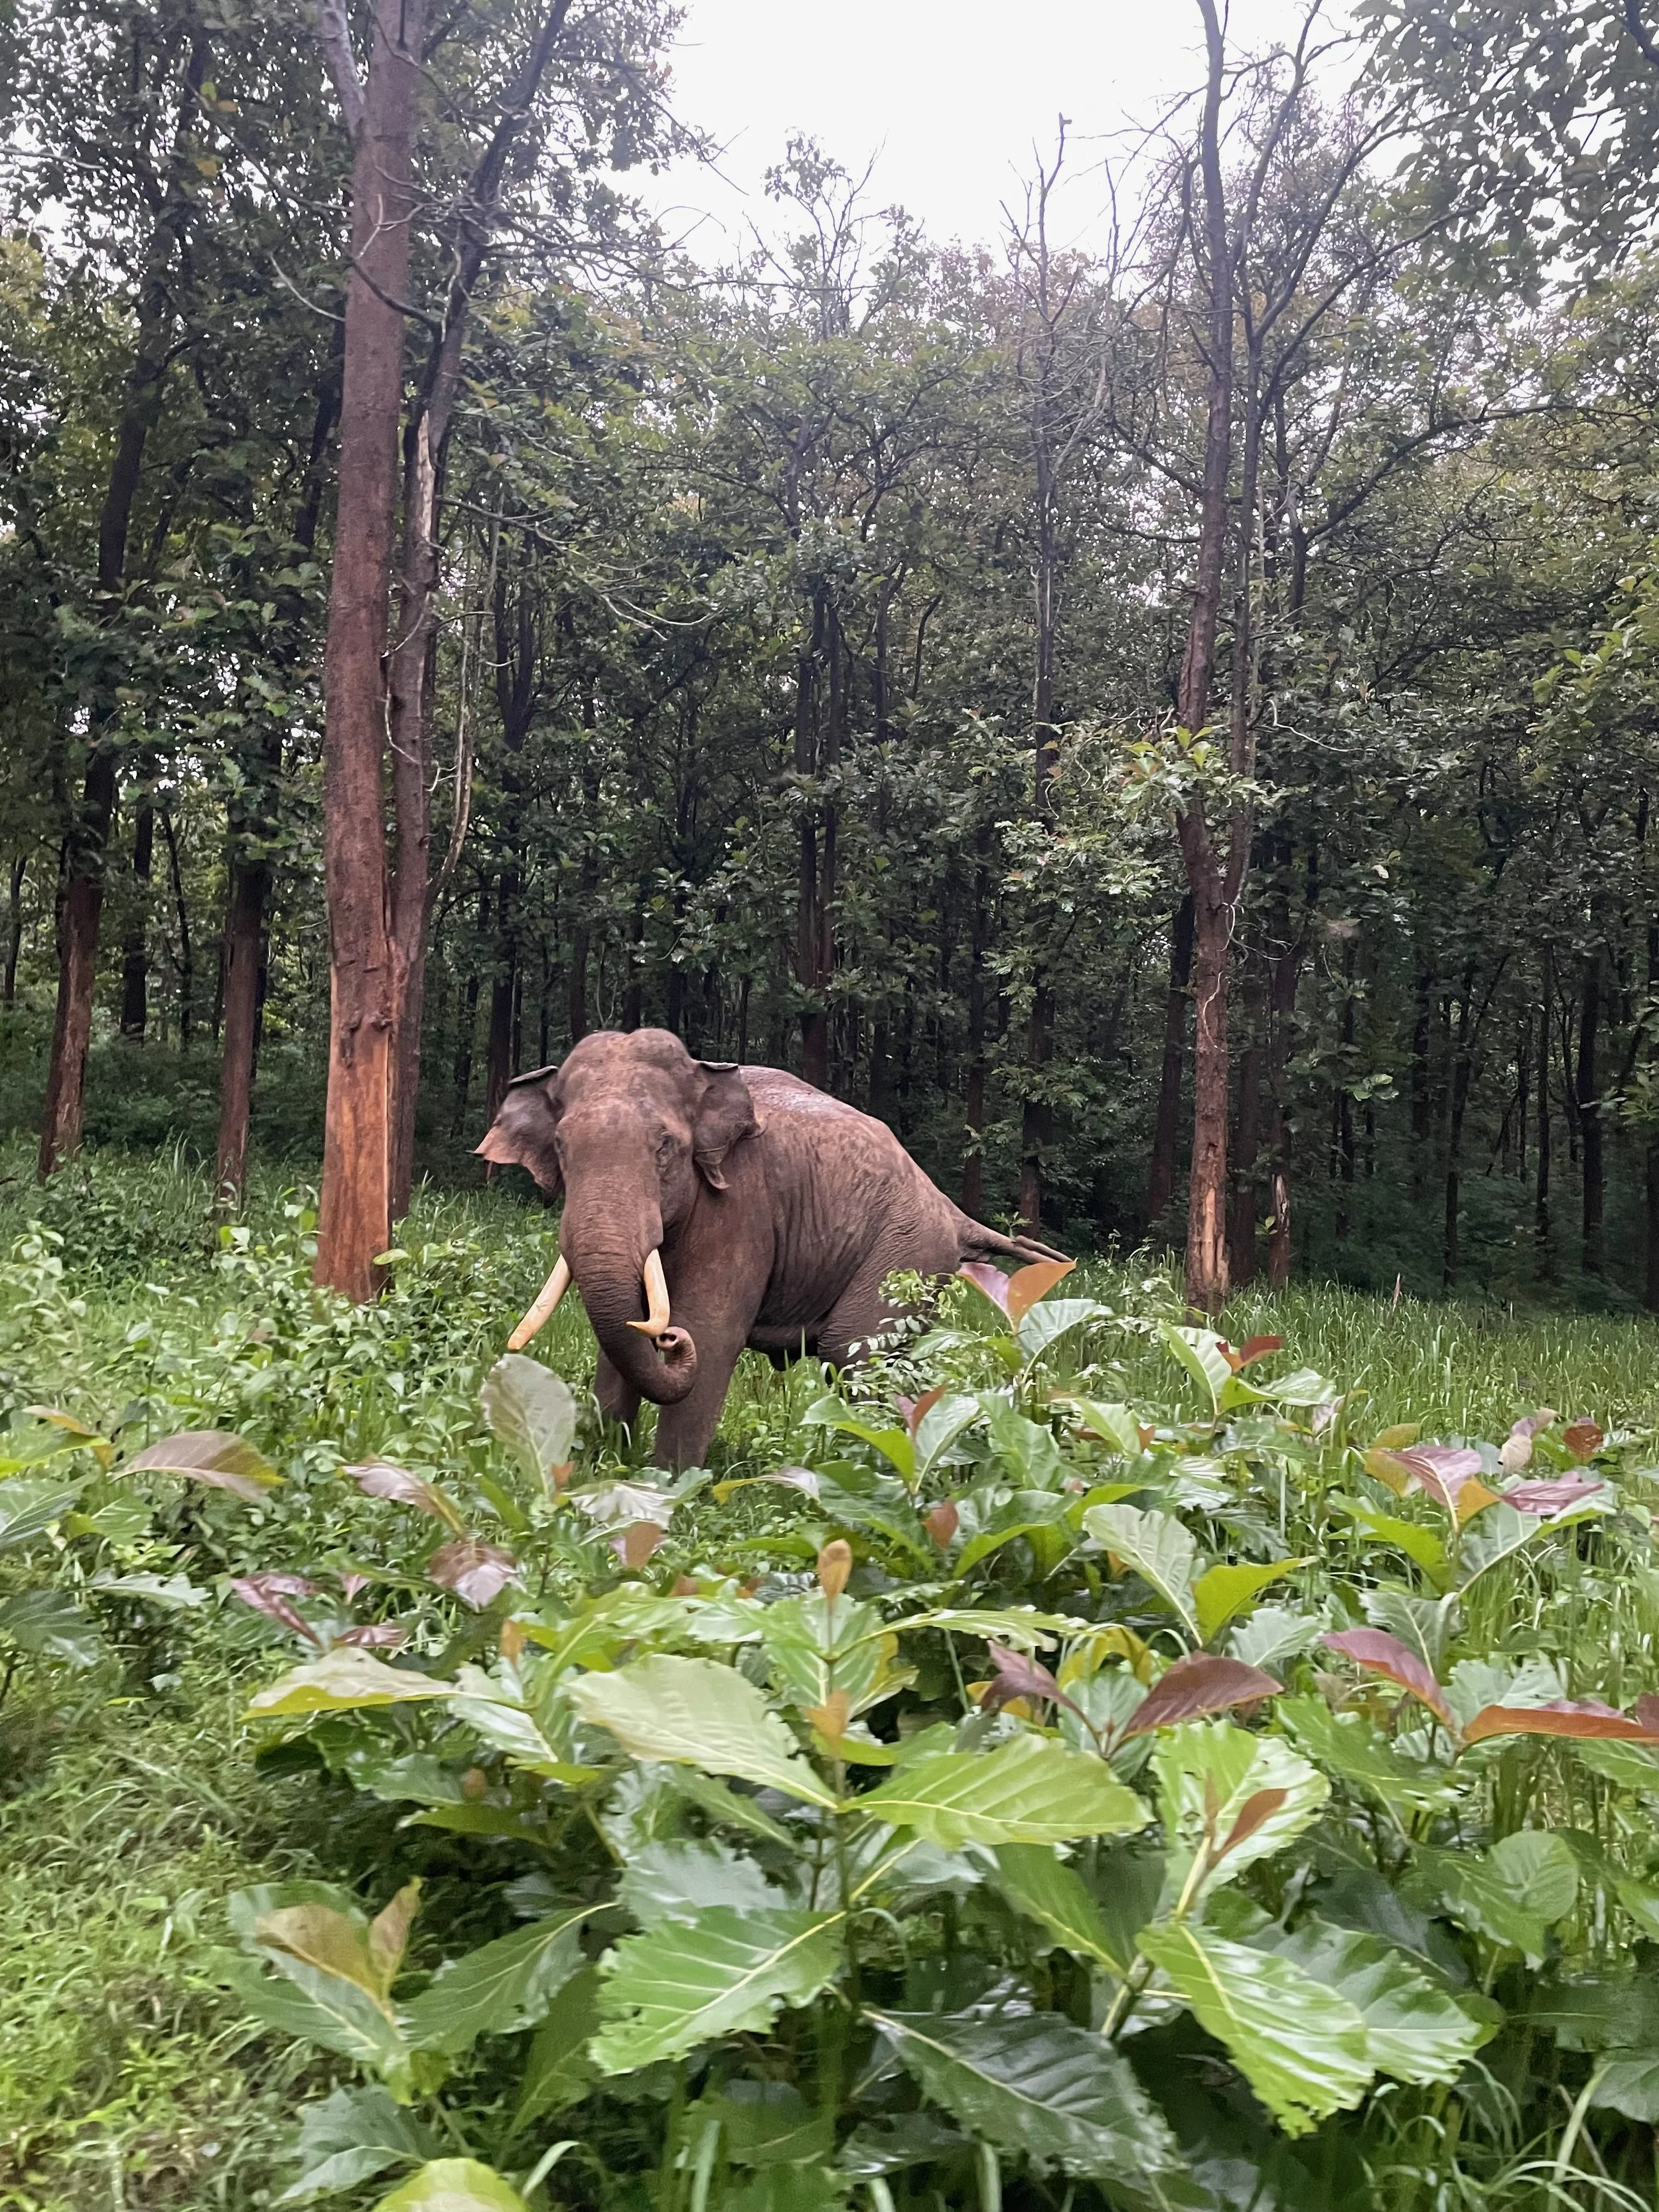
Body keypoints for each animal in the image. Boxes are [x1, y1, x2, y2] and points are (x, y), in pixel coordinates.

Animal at [476, 1027, 1066, 1470]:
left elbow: (711, 1333)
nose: (667, 1337)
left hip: (907, 1253)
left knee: (854, 1353)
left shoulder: (741, 1206)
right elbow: (617, 1338)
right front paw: (602, 1469)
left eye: (665, 1147)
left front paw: (668, 1485)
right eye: (560, 1146)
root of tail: (950, 1209)